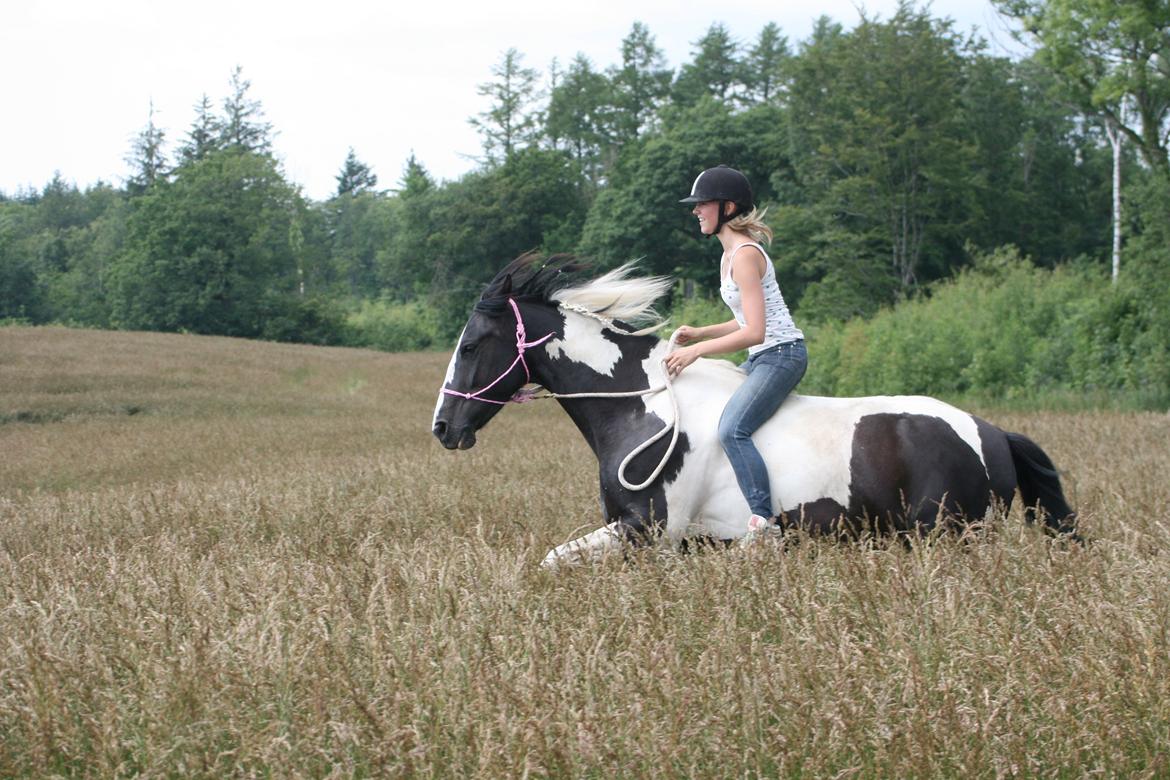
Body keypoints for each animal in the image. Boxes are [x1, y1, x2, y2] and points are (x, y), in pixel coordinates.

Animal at [432, 256, 1076, 568]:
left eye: (471, 346)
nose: (444, 429)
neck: (643, 410)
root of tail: (990, 432)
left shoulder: (650, 532)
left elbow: (552, 561)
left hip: (950, 536)